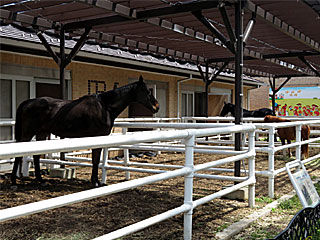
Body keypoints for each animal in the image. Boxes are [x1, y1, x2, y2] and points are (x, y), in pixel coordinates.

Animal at [12, 76, 160, 187]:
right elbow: (95, 160)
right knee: (19, 156)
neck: (104, 106)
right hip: (28, 133)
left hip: (41, 132)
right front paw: (95, 182)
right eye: (146, 91)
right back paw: (14, 182)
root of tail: (27, 102)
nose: (157, 107)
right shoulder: (97, 137)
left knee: (36, 156)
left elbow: (96, 160)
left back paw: (40, 180)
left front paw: (95, 181)